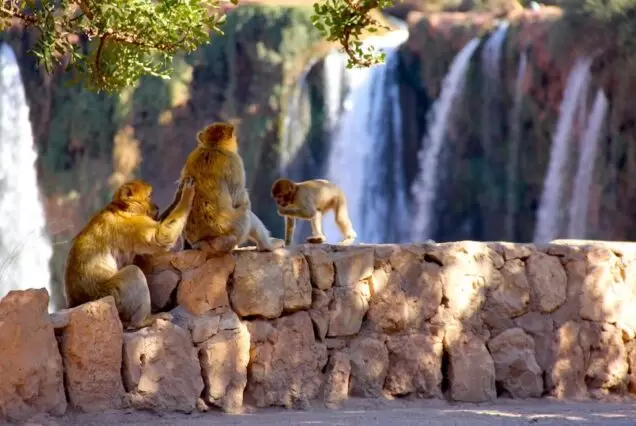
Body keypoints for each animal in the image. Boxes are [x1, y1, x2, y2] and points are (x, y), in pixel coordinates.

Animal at [64, 177, 195, 330]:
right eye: (149, 196)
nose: (156, 206)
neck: (122, 208)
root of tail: (78, 301)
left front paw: (177, 198)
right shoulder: (132, 225)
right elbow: (160, 238)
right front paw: (186, 196)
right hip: (110, 296)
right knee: (133, 272)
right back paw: (142, 321)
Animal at [160, 120, 284, 253]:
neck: (212, 147)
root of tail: (205, 242)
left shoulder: (191, 157)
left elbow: (179, 194)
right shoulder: (235, 161)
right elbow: (239, 197)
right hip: (234, 229)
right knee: (246, 214)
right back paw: (267, 245)